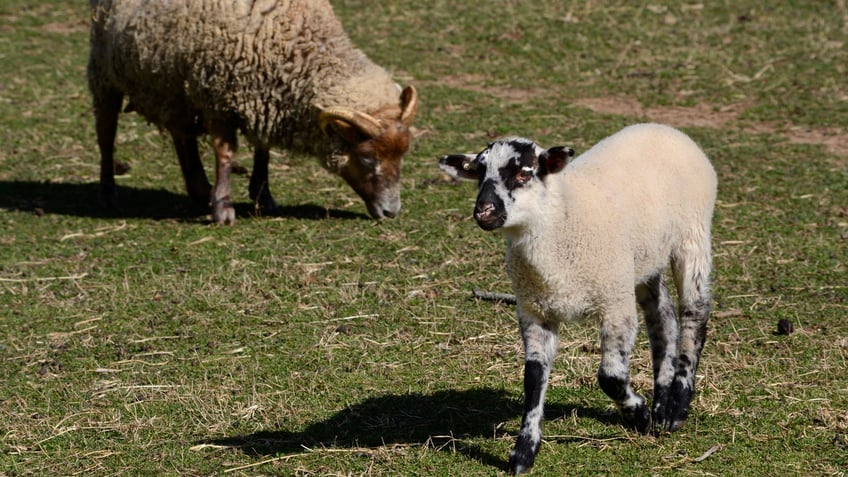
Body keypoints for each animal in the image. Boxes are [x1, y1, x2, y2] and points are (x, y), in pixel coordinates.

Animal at [87, 0, 418, 224]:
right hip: (105, 72)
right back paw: (108, 192)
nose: (391, 212)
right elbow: (225, 153)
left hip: (174, 86)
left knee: (181, 134)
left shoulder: (263, 98)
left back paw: (199, 189)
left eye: (403, 156)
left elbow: (263, 149)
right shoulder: (217, 97)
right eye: (367, 157)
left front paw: (262, 196)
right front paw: (223, 207)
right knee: (106, 132)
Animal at [440, 122, 720, 472]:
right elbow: (533, 378)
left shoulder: (615, 303)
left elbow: (611, 378)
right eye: (479, 172)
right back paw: (661, 404)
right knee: (663, 318)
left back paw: (676, 408)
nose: (484, 211)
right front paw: (523, 452)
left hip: (692, 235)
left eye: (524, 173)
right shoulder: (535, 310)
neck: (560, 218)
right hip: (641, 260)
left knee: (695, 314)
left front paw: (638, 414)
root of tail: (662, 127)